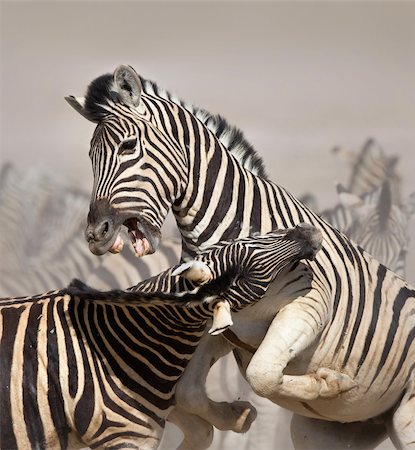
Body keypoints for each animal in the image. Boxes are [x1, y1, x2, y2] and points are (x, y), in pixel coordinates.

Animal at [65, 65, 415, 448]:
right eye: (91, 157)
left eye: (129, 146)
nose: (96, 234)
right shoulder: (210, 323)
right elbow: (188, 390)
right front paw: (235, 415)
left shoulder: (308, 305)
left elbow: (263, 374)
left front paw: (330, 383)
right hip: (324, 431)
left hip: (405, 417)